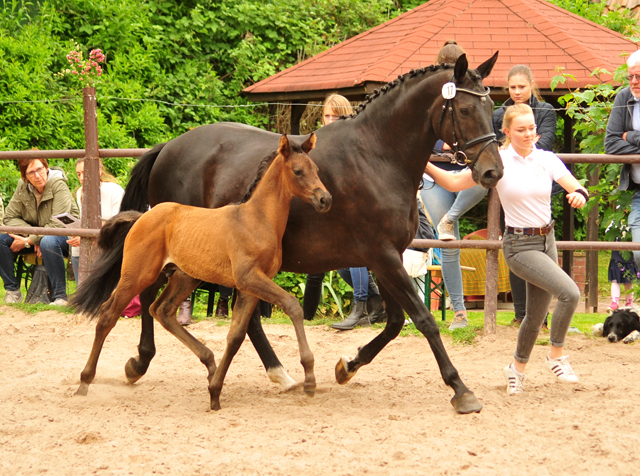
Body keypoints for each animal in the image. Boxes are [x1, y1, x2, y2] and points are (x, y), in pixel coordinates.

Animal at [116, 52, 504, 410]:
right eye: (465, 110)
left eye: (490, 106)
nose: (492, 172)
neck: (377, 155)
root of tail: (168, 147)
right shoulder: (384, 256)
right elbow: (423, 320)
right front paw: (460, 389)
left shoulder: (383, 259)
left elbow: (394, 323)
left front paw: (347, 366)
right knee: (148, 296)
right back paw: (140, 361)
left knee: (244, 320)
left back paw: (279, 373)